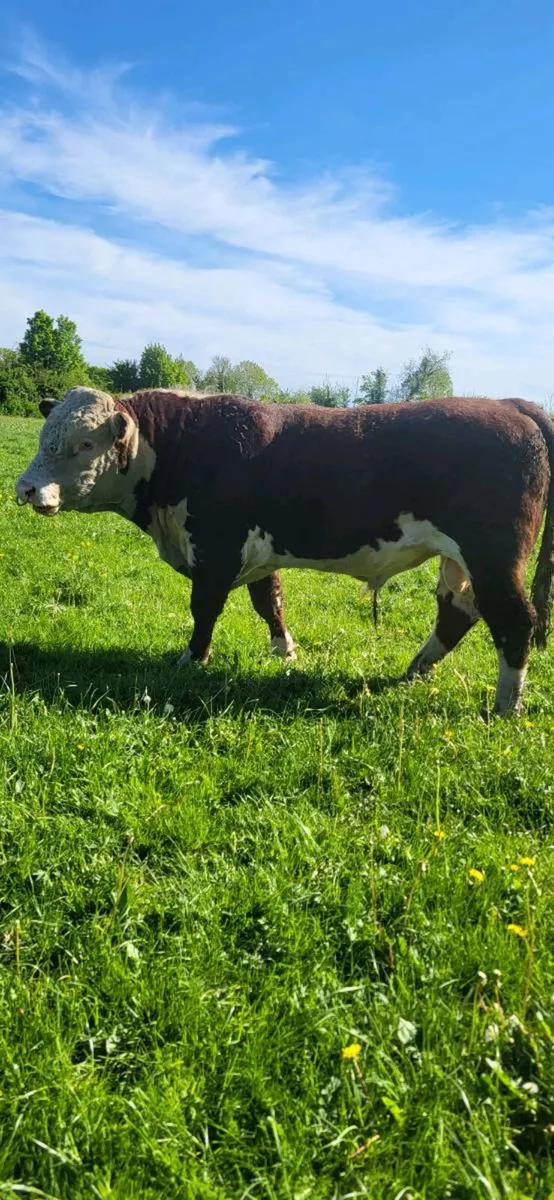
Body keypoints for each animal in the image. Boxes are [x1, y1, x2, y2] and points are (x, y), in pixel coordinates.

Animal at [15, 386, 554, 715]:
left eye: (84, 444)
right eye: (45, 436)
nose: (25, 488)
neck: (179, 446)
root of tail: (508, 404)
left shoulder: (216, 548)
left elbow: (204, 609)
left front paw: (193, 659)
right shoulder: (254, 552)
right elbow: (268, 601)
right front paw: (285, 651)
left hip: (493, 556)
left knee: (514, 620)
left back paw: (506, 707)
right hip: (462, 561)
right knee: (459, 611)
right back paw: (415, 671)